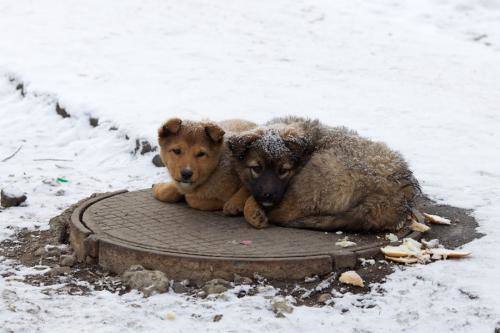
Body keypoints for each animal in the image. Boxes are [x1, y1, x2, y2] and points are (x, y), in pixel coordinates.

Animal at [229, 116, 420, 231]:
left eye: (283, 171)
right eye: (257, 168)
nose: (267, 196)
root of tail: (396, 195)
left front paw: (250, 208)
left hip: (317, 171)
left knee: (285, 212)